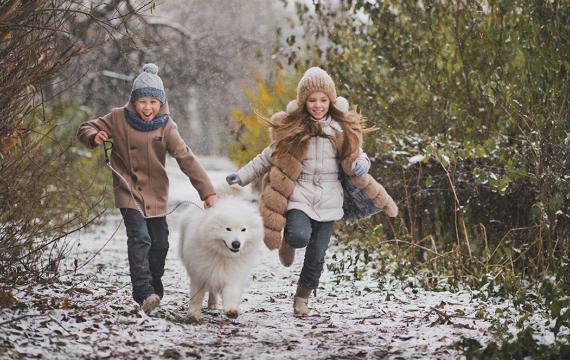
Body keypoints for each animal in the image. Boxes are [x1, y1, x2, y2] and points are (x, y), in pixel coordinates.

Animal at [176, 186, 262, 320]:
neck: (223, 255)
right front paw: (194, 314)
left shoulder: (231, 274)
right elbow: (197, 296)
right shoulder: (199, 274)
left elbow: (231, 292)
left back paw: (213, 304)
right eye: (228, 229)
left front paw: (232, 310)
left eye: (243, 229)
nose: (236, 244)